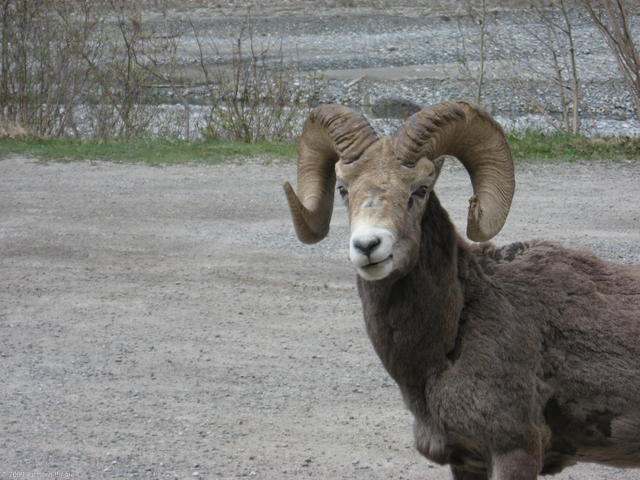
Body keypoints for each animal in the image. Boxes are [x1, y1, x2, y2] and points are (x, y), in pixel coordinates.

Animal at [283, 101, 640, 480]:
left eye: (420, 190)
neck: (456, 330)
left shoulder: (516, 451)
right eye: (343, 189)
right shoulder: (466, 459)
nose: (368, 246)